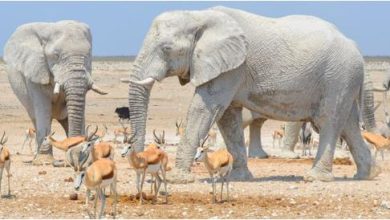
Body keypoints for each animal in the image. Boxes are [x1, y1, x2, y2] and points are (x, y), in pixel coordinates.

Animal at [3, 21, 107, 165]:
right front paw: (44, 161)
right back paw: (37, 158)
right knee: (37, 119)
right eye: (56, 56)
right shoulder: (35, 72)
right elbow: (43, 108)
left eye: (89, 55)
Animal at [124, 6, 380, 182]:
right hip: (344, 80)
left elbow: (204, 108)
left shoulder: (231, 68)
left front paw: (179, 179)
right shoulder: (228, 68)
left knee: (329, 120)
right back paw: (367, 175)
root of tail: (357, 48)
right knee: (348, 124)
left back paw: (315, 178)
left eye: (166, 49)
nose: (143, 162)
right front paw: (238, 178)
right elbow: (227, 117)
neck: (198, 16)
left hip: (338, 76)